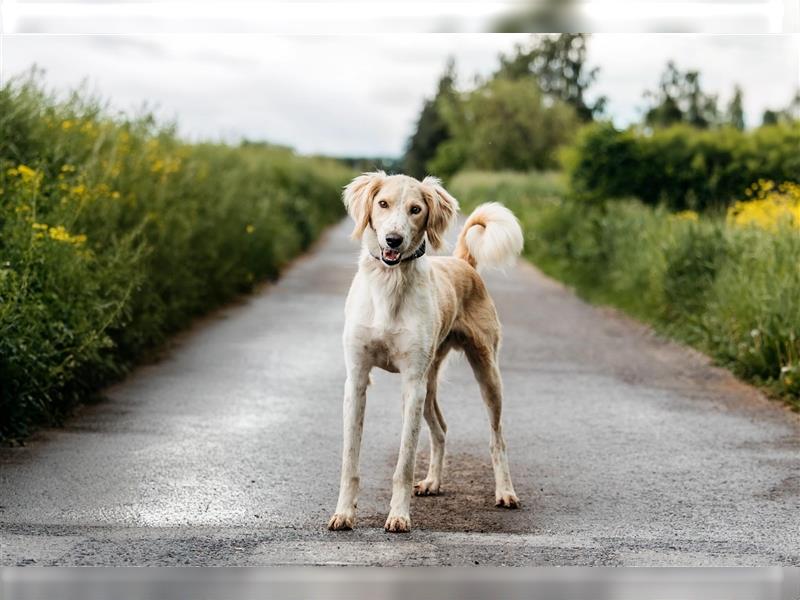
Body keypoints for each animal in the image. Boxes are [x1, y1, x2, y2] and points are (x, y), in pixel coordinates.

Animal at [326, 171, 520, 532]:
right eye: (382, 203)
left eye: (416, 209)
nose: (393, 240)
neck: (389, 283)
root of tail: (463, 262)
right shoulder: (357, 380)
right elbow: (350, 460)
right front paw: (344, 513)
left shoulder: (411, 383)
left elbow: (404, 463)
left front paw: (399, 515)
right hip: (429, 384)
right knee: (441, 429)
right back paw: (432, 482)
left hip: (485, 374)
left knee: (496, 437)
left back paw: (505, 491)